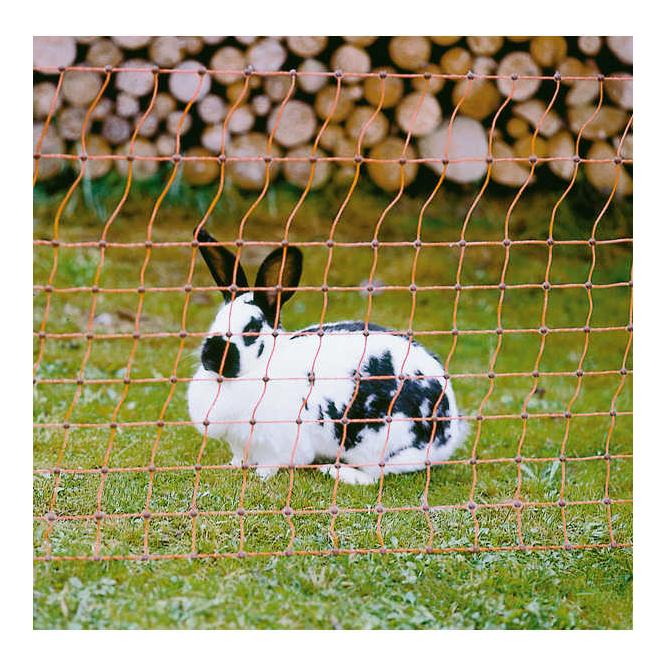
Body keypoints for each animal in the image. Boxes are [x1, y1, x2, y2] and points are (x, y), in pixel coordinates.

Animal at [187, 227, 468, 485]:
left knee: (374, 476)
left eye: (251, 330)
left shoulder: (278, 444)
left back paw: (334, 471)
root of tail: (450, 431)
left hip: (379, 443)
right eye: (216, 320)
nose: (210, 356)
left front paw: (261, 475)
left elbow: (271, 463)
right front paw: (234, 466)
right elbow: (239, 457)